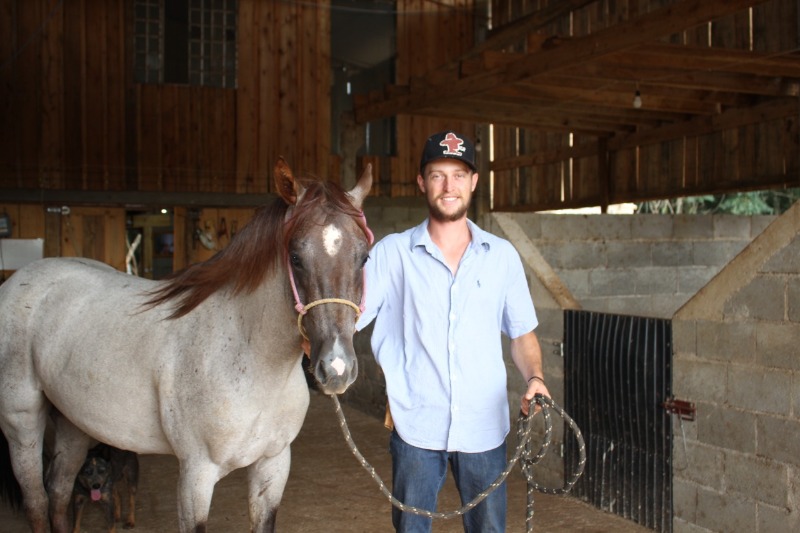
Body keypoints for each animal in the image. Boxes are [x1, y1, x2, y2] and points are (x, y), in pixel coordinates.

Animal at [0, 158, 376, 532]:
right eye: (295, 257)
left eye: (364, 258)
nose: (337, 368)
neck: (249, 360)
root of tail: (19, 280)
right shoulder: (196, 474)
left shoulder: (273, 465)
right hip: (22, 425)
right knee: (38, 501)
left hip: (73, 424)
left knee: (59, 492)